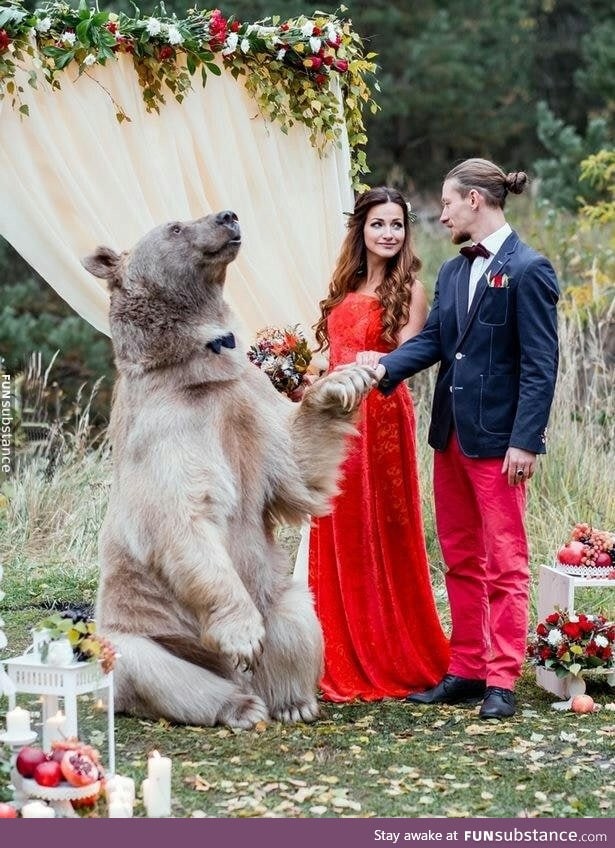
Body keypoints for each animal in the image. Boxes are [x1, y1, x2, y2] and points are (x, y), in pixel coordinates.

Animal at [82, 210, 376, 728]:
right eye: (175, 227)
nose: (228, 215)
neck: (196, 372)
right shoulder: (167, 428)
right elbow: (181, 517)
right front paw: (243, 635)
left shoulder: (245, 400)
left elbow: (294, 464)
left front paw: (344, 382)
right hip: (144, 633)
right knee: (156, 667)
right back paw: (239, 704)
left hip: (277, 594)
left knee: (297, 617)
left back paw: (294, 702)